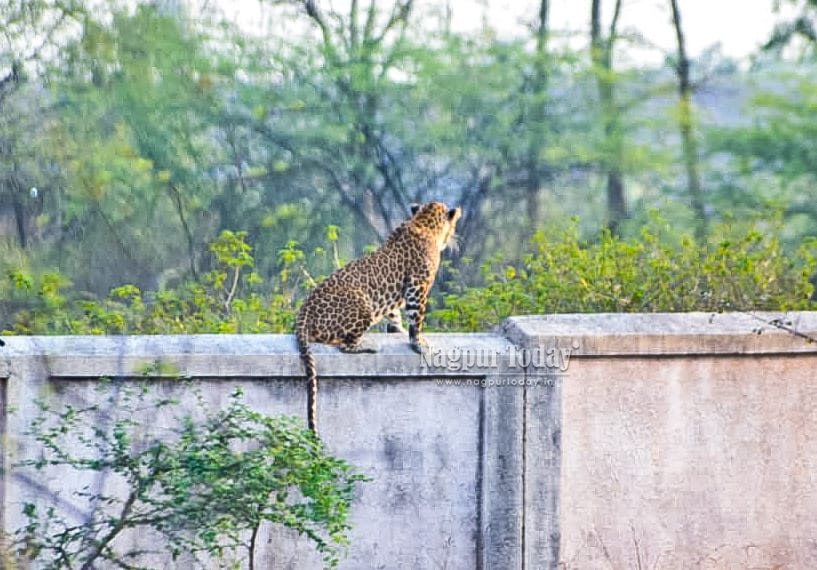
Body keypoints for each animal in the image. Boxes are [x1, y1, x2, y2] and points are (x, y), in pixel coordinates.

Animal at [294, 201, 462, 435]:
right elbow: (416, 317)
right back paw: (369, 345)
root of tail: (303, 312)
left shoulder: (392, 298)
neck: (423, 222)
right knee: (344, 344)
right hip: (363, 305)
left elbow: (394, 313)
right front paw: (418, 342)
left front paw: (398, 330)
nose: (453, 238)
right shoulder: (417, 286)